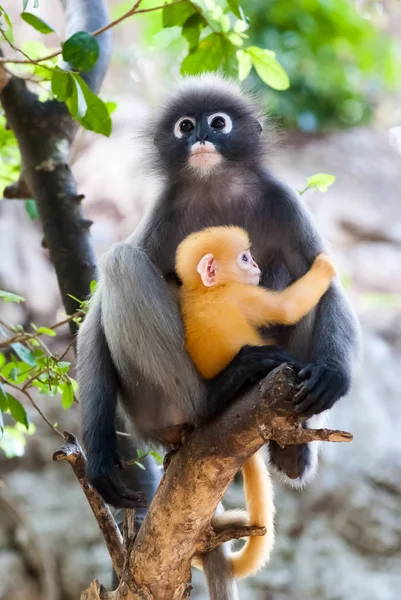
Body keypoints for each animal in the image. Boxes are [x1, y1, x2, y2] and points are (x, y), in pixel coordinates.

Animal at [177, 225, 336, 580]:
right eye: (244, 258)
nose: (256, 266)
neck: (202, 290)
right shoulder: (241, 294)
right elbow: (286, 308)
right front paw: (326, 265)